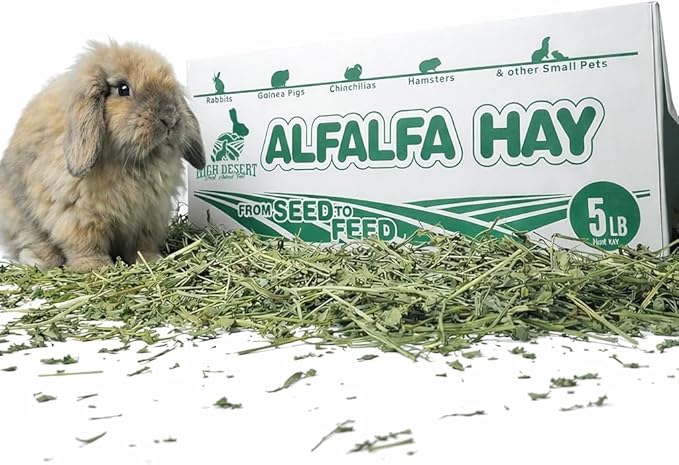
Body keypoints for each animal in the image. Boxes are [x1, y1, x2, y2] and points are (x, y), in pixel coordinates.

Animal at [0, 40, 206, 272]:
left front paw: (151, 261)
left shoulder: (148, 217)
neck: (133, 163)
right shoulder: (78, 215)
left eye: (172, 87)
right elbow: (86, 244)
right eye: (123, 88)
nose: (170, 118)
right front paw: (95, 267)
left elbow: (142, 245)